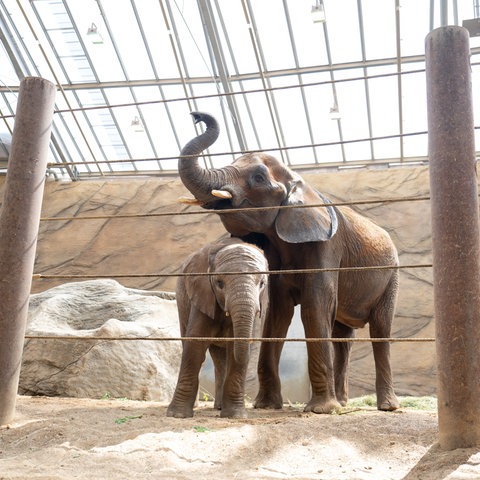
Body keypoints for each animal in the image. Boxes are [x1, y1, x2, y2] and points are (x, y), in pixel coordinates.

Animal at [167, 238, 268, 418]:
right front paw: (177, 415)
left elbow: (235, 347)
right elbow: (194, 344)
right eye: (219, 283)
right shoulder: (203, 294)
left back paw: (220, 407)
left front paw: (235, 416)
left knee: (221, 356)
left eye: (262, 284)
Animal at [178, 111, 400, 412]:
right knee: (343, 336)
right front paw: (266, 406)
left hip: (392, 275)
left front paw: (320, 410)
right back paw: (343, 403)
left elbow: (314, 306)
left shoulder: (327, 246)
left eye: (259, 177)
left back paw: (386, 406)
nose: (197, 116)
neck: (300, 182)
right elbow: (278, 312)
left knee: (381, 329)